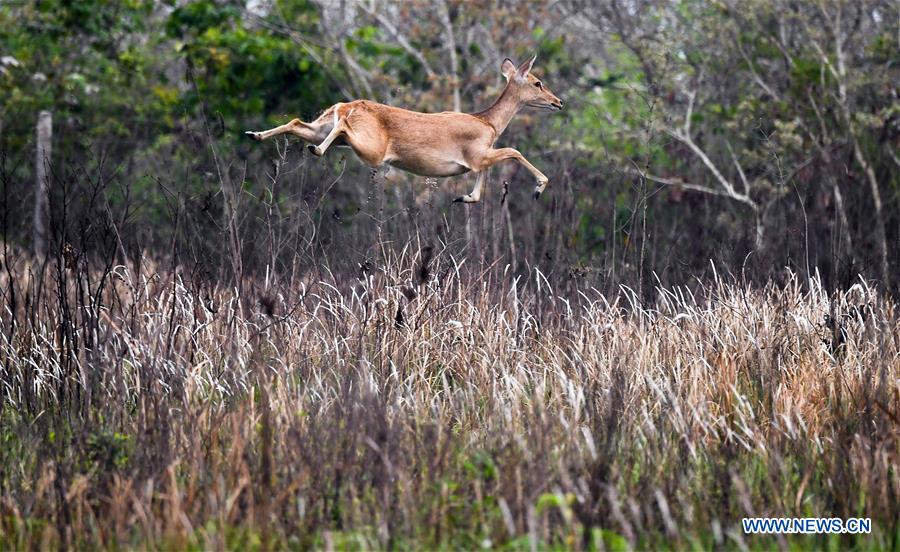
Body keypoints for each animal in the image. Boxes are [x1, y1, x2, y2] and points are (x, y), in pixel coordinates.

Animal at [243, 56, 560, 202]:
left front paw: (464, 198)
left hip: (324, 126)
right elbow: (514, 151)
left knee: (298, 122)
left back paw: (255, 134)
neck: (489, 123)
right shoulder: (477, 153)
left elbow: (482, 185)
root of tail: (346, 105)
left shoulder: (478, 159)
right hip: (371, 147)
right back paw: (315, 150)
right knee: (340, 126)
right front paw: (539, 188)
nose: (558, 102)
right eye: (538, 83)